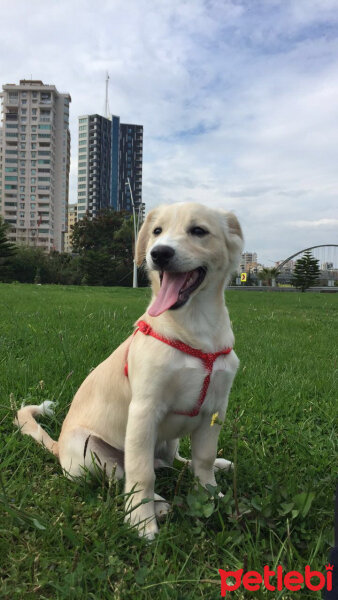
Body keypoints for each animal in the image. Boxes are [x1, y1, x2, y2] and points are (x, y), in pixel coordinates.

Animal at [15, 202, 243, 540]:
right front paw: (141, 521)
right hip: (89, 453)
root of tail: (58, 448)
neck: (195, 328)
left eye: (198, 231)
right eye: (157, 231)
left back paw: (215, 466)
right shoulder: (144, 410)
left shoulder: (214, 410)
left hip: (168, 441)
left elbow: (204, 458)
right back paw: (158, 505)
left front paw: (212, 494)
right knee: (122, 476)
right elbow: (140, 474)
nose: (159, 253)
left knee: (172, 460)